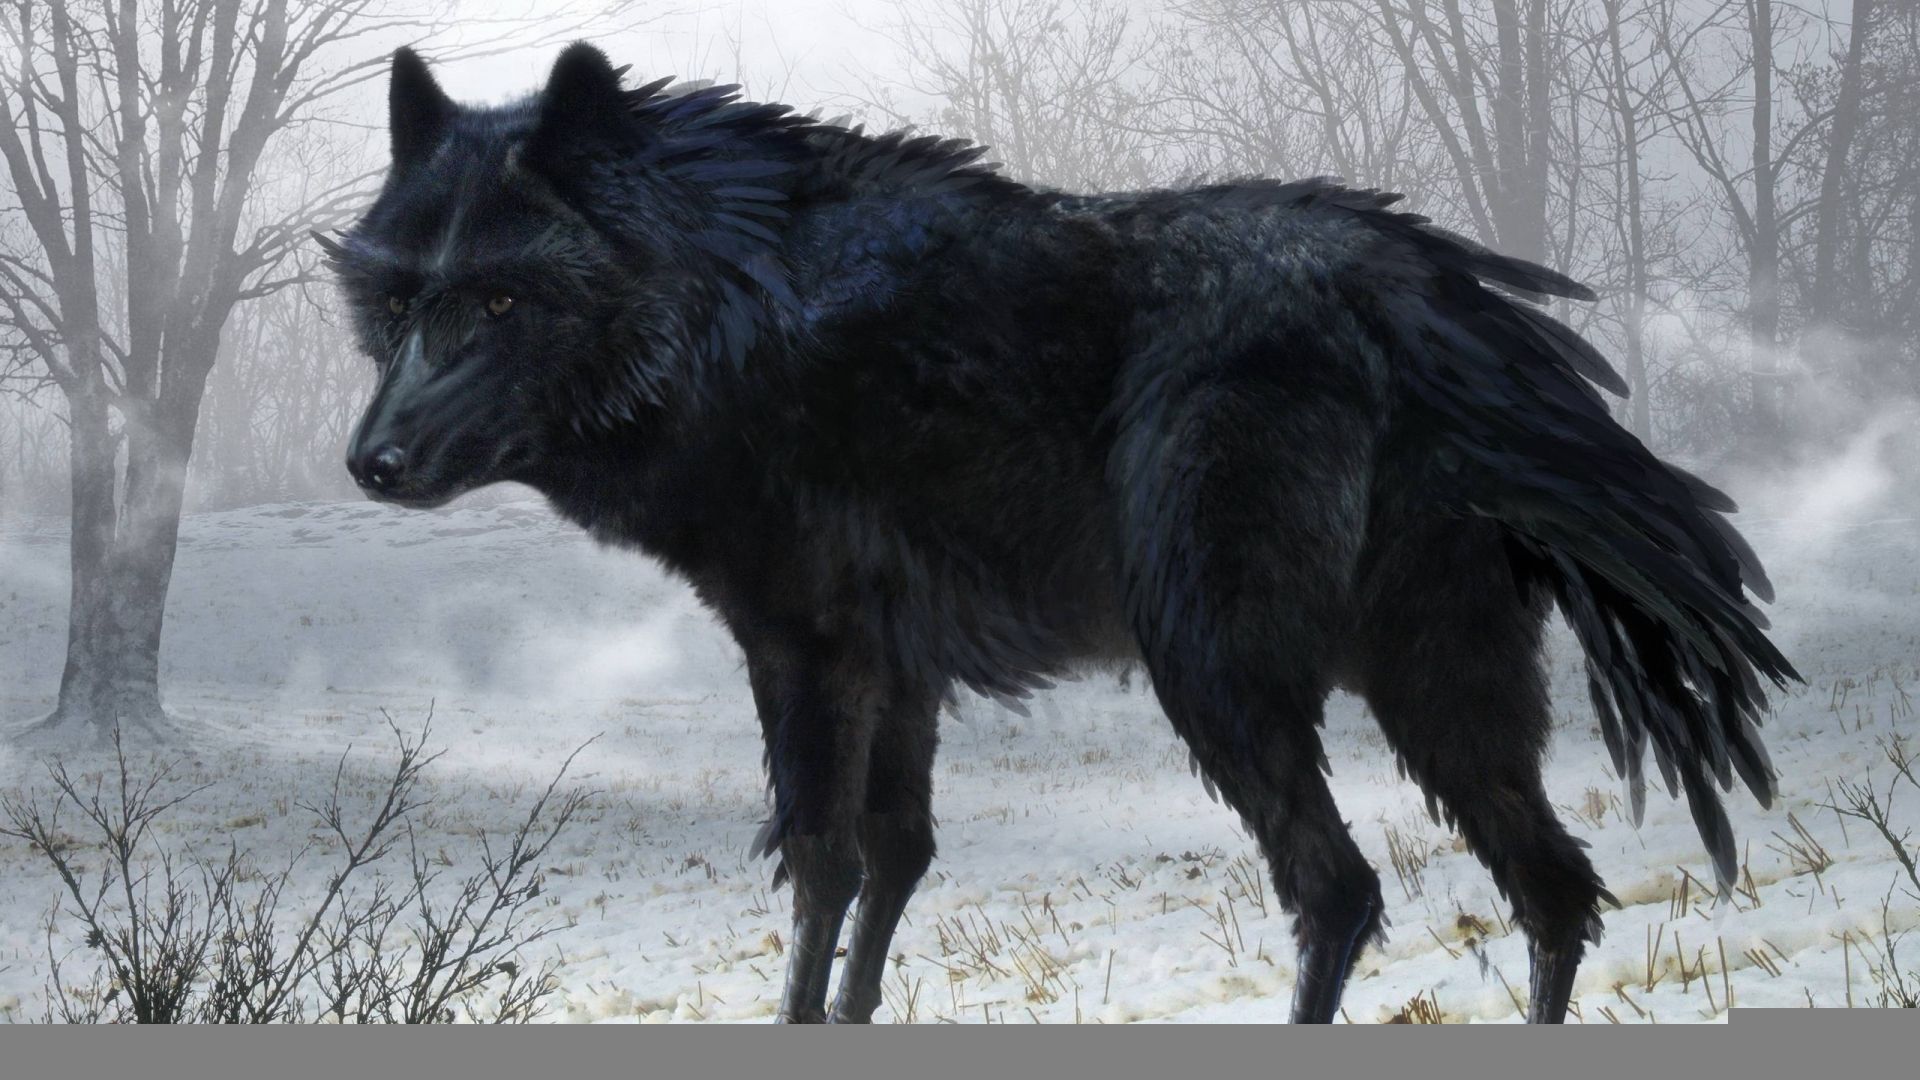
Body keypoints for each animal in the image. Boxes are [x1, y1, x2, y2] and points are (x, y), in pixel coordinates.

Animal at [319, 43, 1798, 1023]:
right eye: (397, 303)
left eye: (500, 303)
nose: (370, 465)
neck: (729, 308)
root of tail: (1424, 293)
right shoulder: (896, 666)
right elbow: (895, 858)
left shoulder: (802, 647)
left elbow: (820, 863)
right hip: (1445, 688)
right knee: (1554, 890)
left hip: (1222, 673)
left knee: (1342, 890)